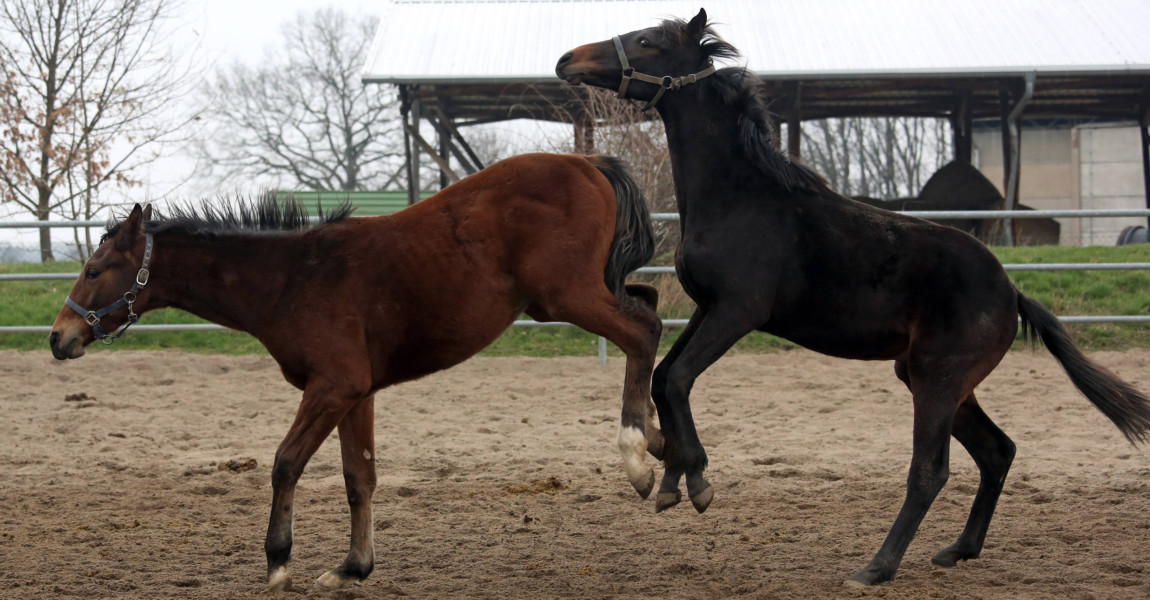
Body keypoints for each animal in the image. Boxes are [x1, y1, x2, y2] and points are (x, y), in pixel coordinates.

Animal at [49, 152, 667, 588]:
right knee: (649, 304)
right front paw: (353, 566)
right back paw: (663, 440)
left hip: (567, 296)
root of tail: (587, 162)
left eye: (95, 270)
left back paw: (638, 455)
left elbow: (286, 463)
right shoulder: (357, 394)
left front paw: (279, 562)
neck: (291, 278)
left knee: (643, 330)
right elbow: (358, 477)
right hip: (570, 295)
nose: (60, 337)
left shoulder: (332, 387)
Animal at [556, 9, 1150, 586]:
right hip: (932, 378)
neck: (740, 198)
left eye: (648, 39)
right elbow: (663, 378)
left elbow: (678, 379)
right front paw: (671, 478)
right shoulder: (708, 309)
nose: (568, 60)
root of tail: (1012, 292)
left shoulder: (737, 312)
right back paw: (958, 549)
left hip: (937, 380)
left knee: (930, 472)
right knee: (998, 451)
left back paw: (877, 567)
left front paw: (695, 480)